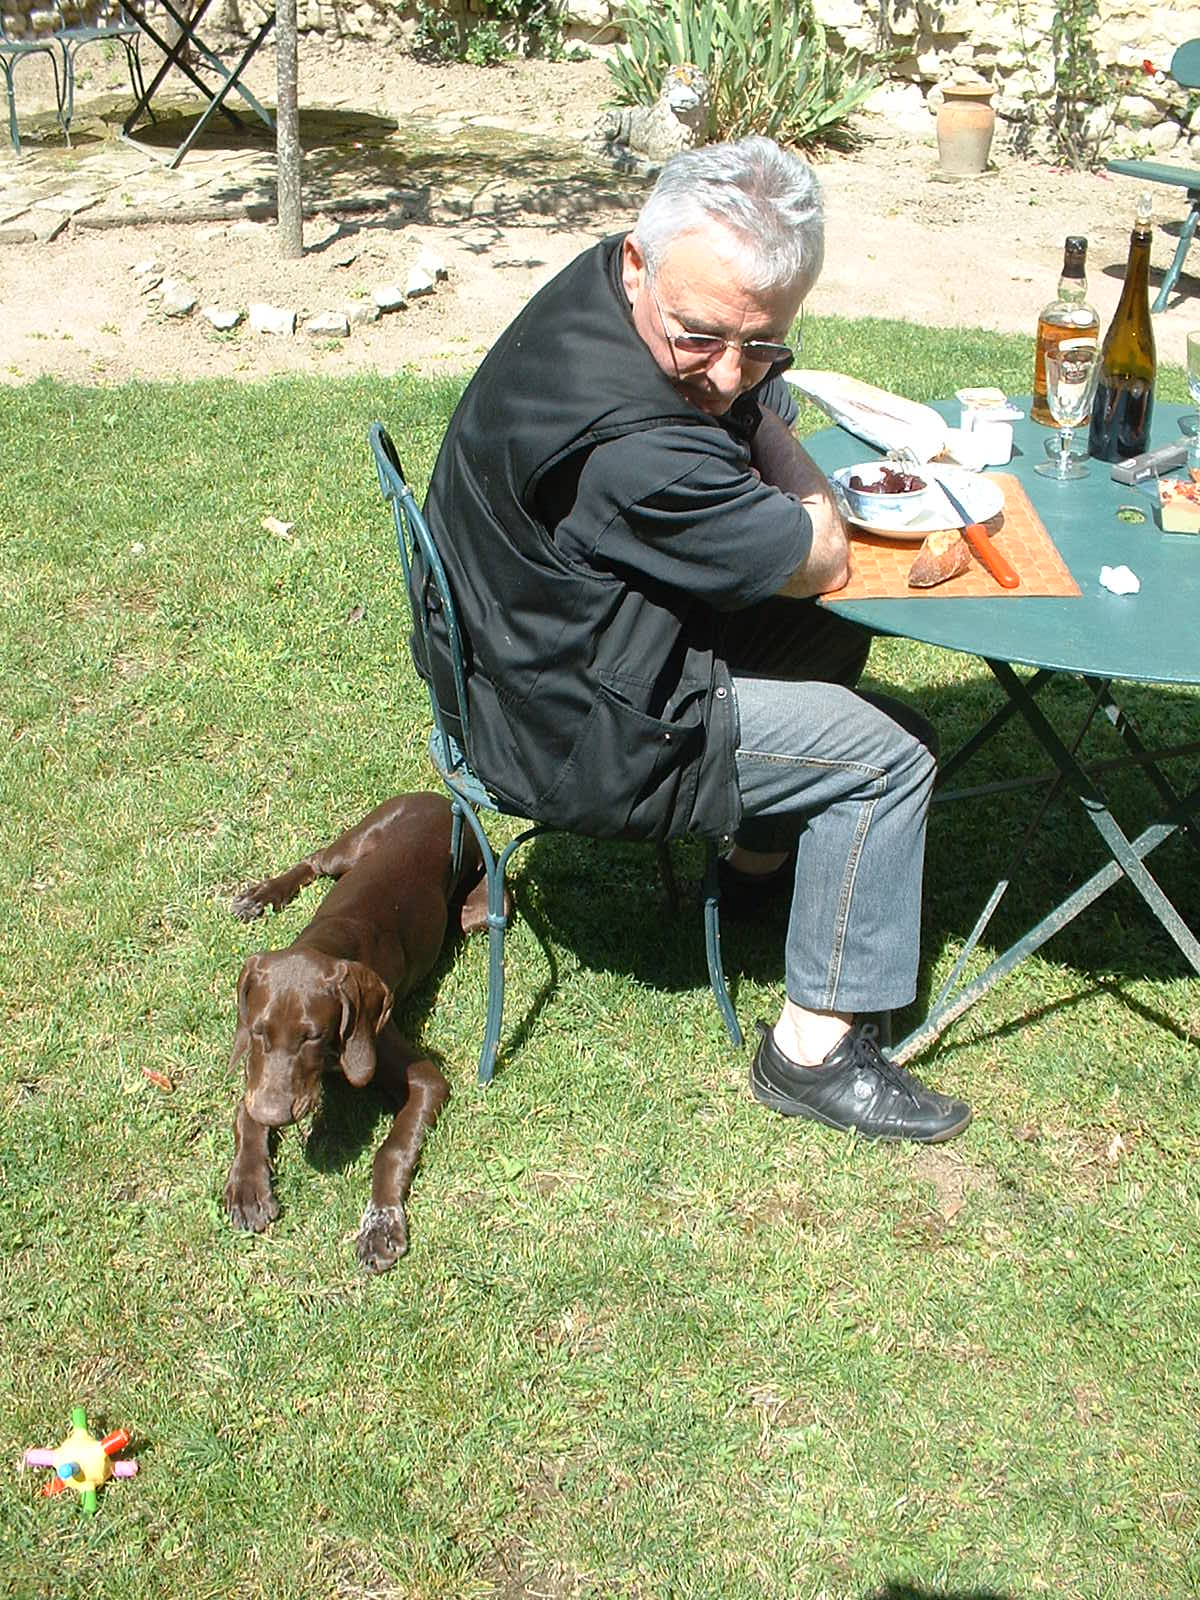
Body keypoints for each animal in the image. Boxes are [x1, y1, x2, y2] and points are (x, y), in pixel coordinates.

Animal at [223, 791, 487, 1272]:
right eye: (257, 1031)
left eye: (311, 1035)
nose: (275, 1113)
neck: (327, 943)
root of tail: (439, 796)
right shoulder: (256, 1071)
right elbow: (244, 1111)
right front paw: (249, 1185)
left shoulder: (424, 1078)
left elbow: (392, 1150)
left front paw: (381, 1225)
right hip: (354, 845)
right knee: (316, 860)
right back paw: (261, 895)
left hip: (474, 906)